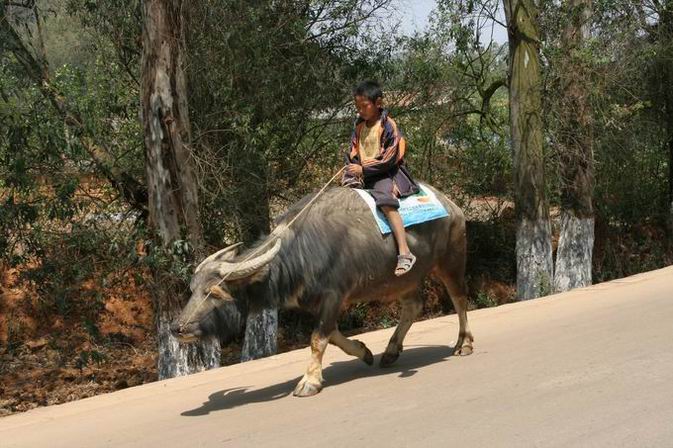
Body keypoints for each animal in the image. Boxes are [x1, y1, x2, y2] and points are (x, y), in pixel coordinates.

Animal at [173, 185, 472, 396]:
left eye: (215, 292)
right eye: (193, 289)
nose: (177, 328)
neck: (302, 253)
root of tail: (451, 205)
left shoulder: (333, 296)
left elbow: (318, 339)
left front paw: (309, 381)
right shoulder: (318, 302)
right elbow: (333, 335)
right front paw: (364, 351)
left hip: (452, 260)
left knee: (459, 299)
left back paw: (464, 344)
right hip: (402, 279)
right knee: (413, 306)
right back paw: (390, 352)